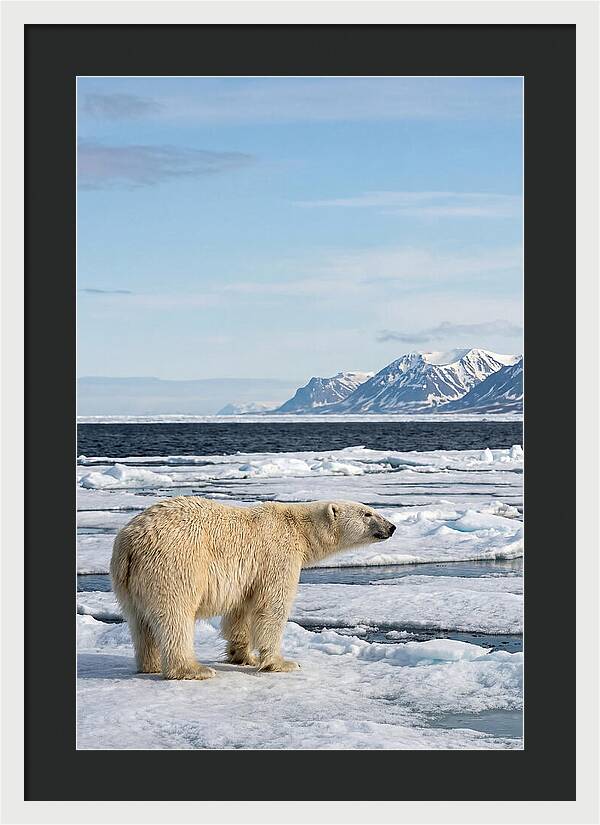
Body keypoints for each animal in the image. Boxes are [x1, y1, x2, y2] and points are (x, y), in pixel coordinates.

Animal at [110, 497, 396, 680]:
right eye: (368, 513)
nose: (392, 527)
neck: (299, 529)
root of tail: (130, 543)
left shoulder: (249, 576)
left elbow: (241, 612)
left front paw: (243, 656)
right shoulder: (277, 555)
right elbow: (272, 607)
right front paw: (283, 662)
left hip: (126, 581)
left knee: (139, 622)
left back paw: (149, 664)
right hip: (174, 565)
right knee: (175, 616)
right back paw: (193, 669)